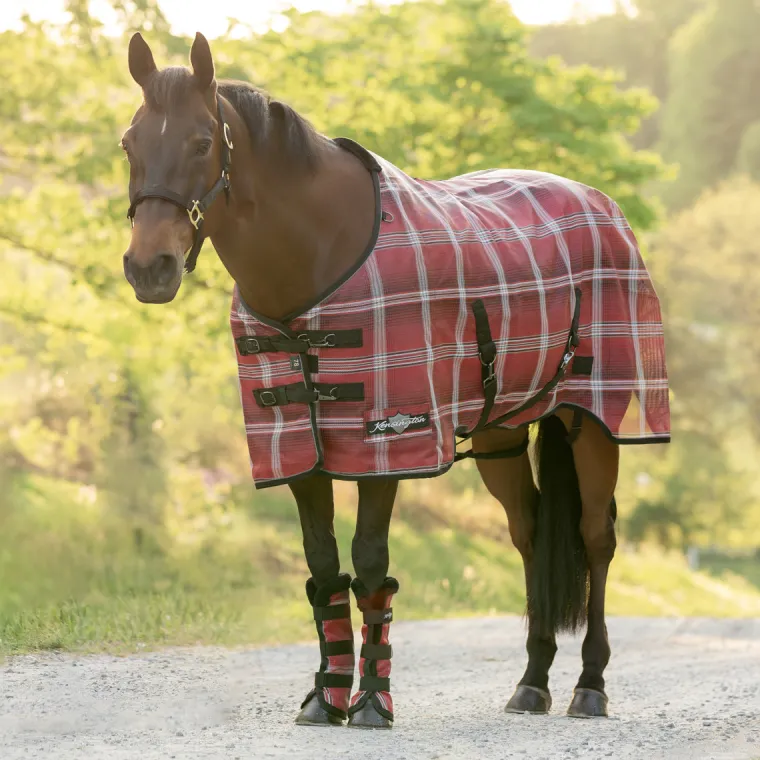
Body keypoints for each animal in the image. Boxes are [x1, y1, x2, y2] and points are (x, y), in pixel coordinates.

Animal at [121, 32, 670, 729]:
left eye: (199, 142)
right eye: (129, 142)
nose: (149, 267)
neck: (318, 253)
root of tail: (601, 205)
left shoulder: (385, 442)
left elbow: (370, 563)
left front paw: (371, 702)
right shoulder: (297, 441)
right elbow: (323, 565)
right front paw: (325, 697)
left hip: (590, 419)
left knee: (597, 537)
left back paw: (589, 686)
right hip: (499, 434)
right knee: (528, 533)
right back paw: (532, 682)